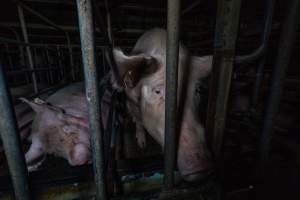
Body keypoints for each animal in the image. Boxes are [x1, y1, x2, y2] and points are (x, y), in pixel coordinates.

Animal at [112, 27, 213, 181]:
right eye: (157, 91)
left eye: (197, 90)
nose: (201, 166)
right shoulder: (131, 98)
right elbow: (139, 120)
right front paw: (142, 145)